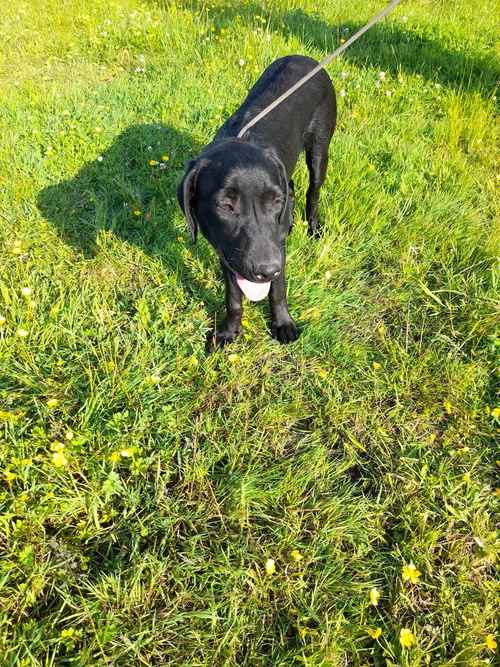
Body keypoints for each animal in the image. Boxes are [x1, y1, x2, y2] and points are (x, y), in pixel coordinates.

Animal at [177, 56, 336, 350]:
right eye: (226, 206)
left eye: (274, 202)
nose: (266, 270)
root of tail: (306, 57)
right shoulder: (228, 251)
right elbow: (233, 297)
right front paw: (229, 331)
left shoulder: (276, 249)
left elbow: (278, 290)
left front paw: (283, 324)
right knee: (292, 187)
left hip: (320, 148)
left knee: (312, 191)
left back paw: (313, 228)